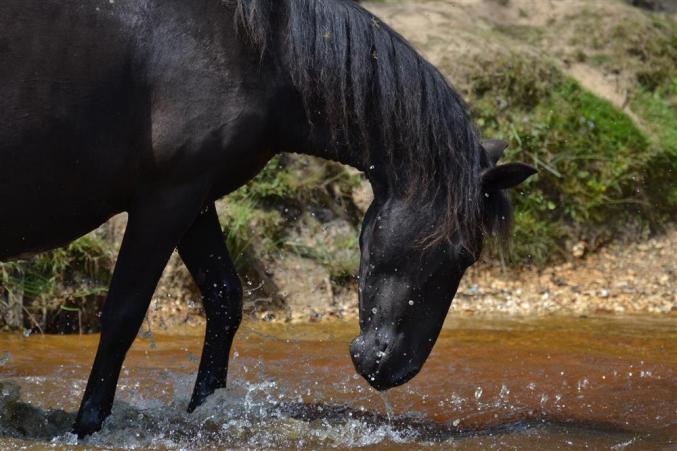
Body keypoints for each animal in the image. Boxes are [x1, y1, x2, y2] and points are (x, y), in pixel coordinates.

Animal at [1, 0, 532, 438]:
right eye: (462, 254)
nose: (390, 368)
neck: (252, 49)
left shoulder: (193, 198)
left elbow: (224, 299)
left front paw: (205, 411)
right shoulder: (163, 201)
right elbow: (123, 314)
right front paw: (87, 424)